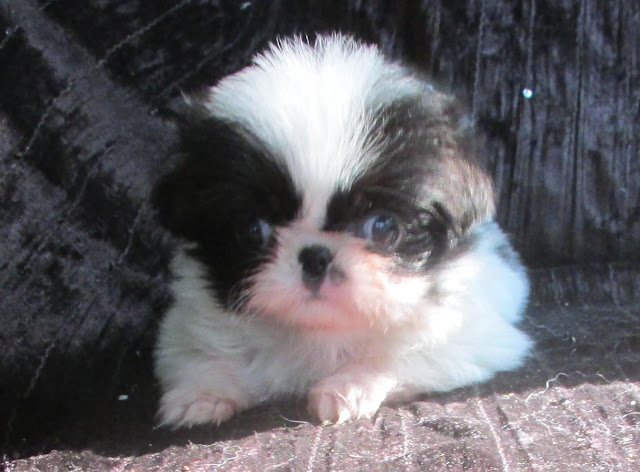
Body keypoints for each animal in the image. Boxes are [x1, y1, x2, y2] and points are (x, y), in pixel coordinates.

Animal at [153, 34, 531, 427]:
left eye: (382, 226)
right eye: (252, 231)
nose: (315, 255)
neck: (318, 333)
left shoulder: (470, 335)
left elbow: (396, 351)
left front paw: (349, 385)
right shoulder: (186, 325)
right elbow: (197, 352)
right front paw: (202, 392)